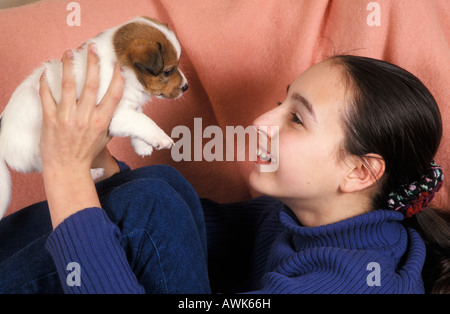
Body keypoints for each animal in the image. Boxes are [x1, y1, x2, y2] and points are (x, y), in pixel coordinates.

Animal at [0, 17, 188, 218]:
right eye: (168, 71)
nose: (186, 87)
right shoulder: (113, 115)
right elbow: (143, 121)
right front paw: (160, 137)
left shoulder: (128, 107)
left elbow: (138, 119)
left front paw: (142, 146)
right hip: (41, 151)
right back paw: (95, 173)